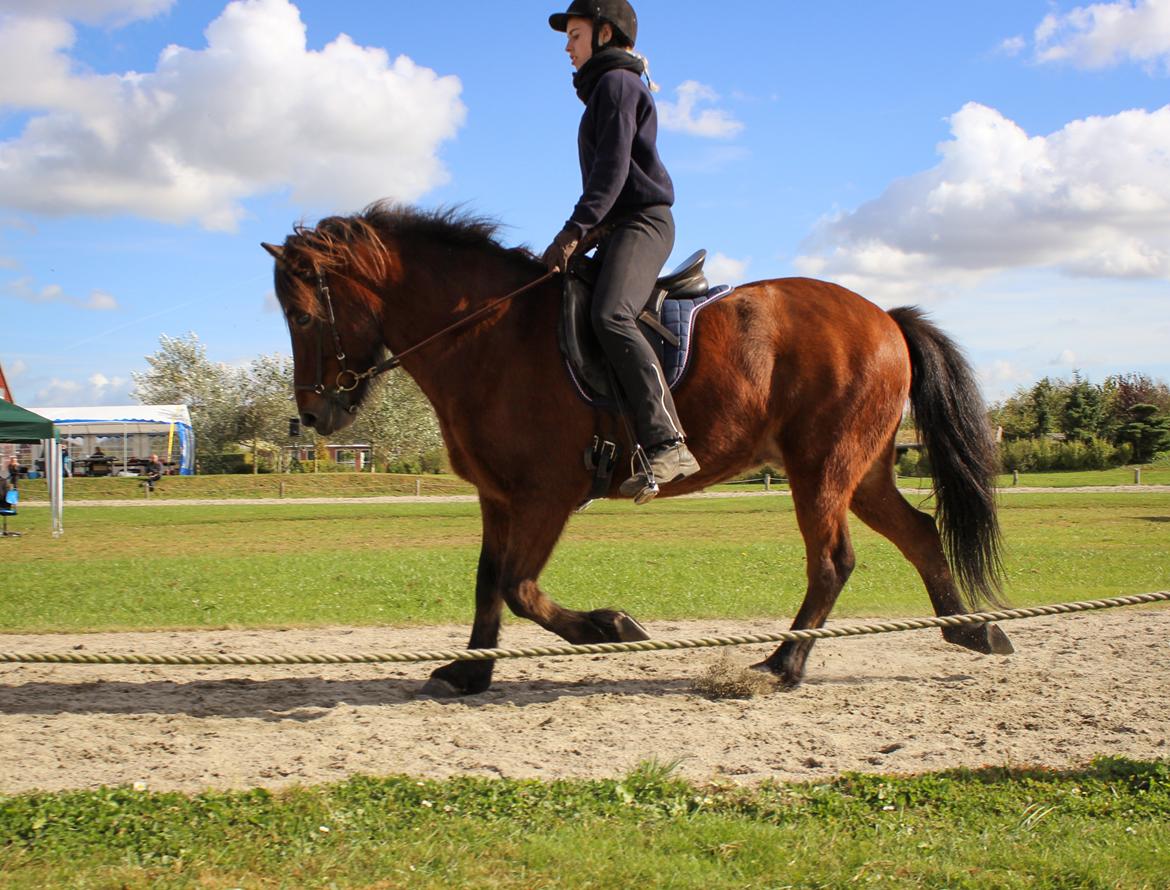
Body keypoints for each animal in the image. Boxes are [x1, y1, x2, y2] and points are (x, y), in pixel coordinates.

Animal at [260, 204, 1010, 697]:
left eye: (301, 315)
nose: (313, 413)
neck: (488, 334)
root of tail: (885, 317)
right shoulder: (499, 496)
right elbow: (488, 584)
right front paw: (472, 671)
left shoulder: (547, 493)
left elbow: (519, 587)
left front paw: (610, 626)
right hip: (862, 468)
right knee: (919, 532)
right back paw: (971, 630)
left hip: (820, 467)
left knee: (833, 561)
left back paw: (782, 666)